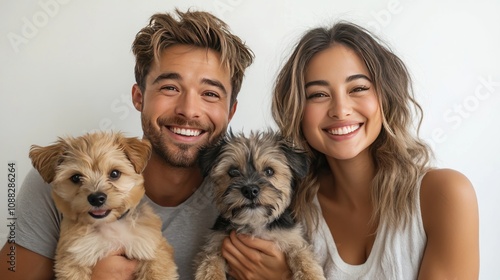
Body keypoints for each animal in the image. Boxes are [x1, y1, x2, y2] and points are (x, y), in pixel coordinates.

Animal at [29, 132, 178, 280]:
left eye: (114, 173)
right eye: (76, 177)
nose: (96, 198)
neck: (110, 224)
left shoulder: (153, 250)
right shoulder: (74, 258)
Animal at [193, 131, 326, 280]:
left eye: (269, 171)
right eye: (232, 172)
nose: (250, 190)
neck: (254, 223)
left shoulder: (292, 238)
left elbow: (302, 254)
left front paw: (311, 275)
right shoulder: (215, 243)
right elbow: (210, 262)